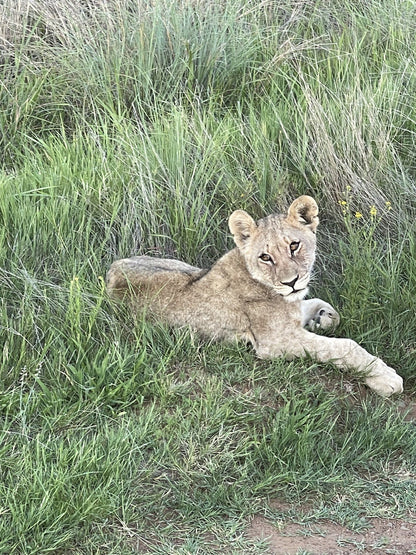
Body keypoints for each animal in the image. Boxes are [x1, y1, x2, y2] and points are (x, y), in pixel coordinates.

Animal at [106, 193, 404, 398]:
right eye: (265, 257)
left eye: (294, 246)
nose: (291, 282)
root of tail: (109, 272)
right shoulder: (276, 342)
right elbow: (344, 346)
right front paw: (384, 377)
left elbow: (326, 308)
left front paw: (322, 319)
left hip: (182, 266)